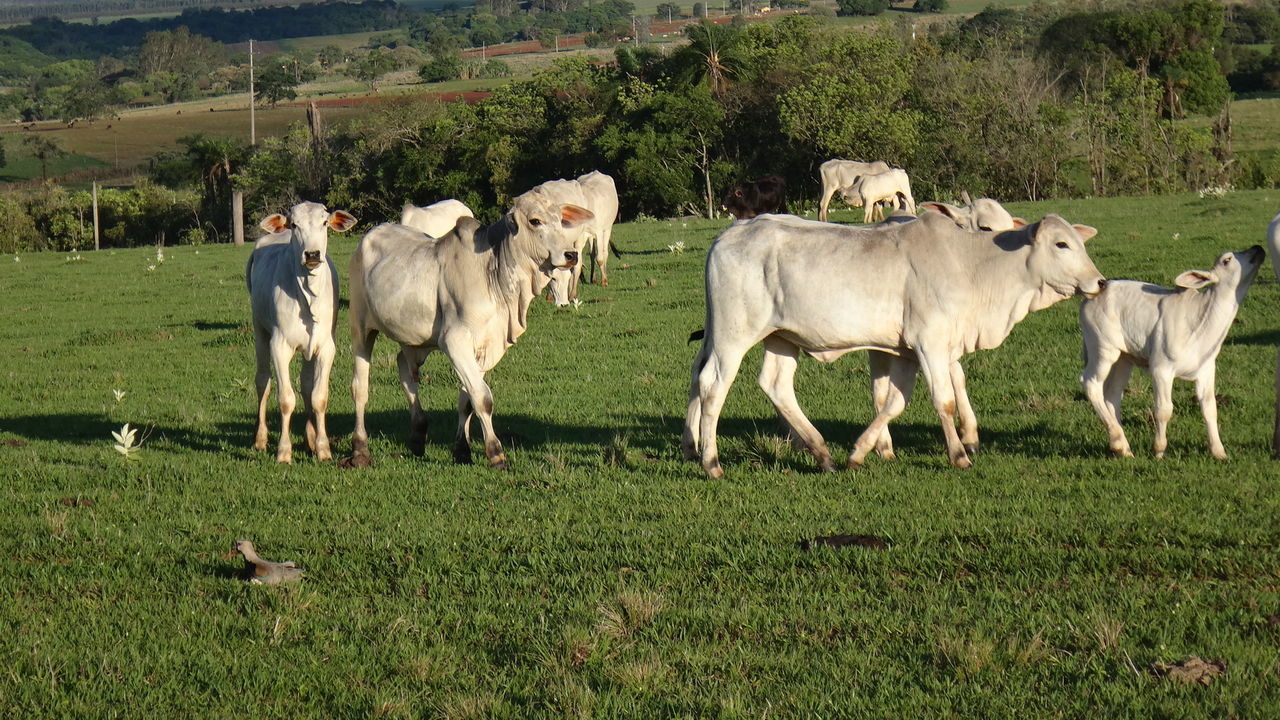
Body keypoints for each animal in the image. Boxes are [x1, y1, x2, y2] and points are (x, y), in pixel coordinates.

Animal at [245, 199, 358, 458]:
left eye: (325, 222)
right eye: (295, 224)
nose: (313, 254)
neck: (308, 296)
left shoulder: (325, 347)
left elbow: (318, 396)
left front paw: (323, 448)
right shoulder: (279, 346)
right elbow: (286, 399)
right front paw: (284, 451)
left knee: (306, 384)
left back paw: (310, 438)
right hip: (260, 331)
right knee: (262, 381)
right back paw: (261, 438)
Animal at [345, 183, 593, 471]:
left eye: (562, 220)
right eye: (535, 221)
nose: (571, 254)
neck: (494, 275)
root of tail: (374, 232)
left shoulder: (485, 346)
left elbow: (467, 401)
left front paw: (462, 450)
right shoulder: (455, 341)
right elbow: (482, 398)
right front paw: (495, 453)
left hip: (414, 338)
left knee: (404, 367)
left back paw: (418, 436)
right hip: (360, 328)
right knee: (360, 387)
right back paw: (360, 449)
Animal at [540, 171, 619, 304]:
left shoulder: (597, 232)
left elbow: (599, 258)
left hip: (607, 227)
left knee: (604, 253)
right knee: (592, 254)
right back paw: (592, 278)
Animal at [680, 210, 1111, 474]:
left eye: (1080, 243)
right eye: (1061, 245)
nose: (1100, 281)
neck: (973, 267)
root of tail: (733, 231)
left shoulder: (906, 350)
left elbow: (893, 402)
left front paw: (860, 452)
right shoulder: (931, 343)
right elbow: (944, 400)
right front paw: (959, 454)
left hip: (781, 338)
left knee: (775, 385)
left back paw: (822, 453)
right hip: (733, 336)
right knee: (711, 386)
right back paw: (711, 462)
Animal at [1080, 245, 1269, 456]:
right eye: (1227, 260)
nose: (1258, 248)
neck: (1203, 321)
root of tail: (1096, 290)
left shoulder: (1206, 369)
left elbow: (1210, 408)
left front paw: (1219, 451)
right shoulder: (1161, 368)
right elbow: (1164, 410)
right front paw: (1159, 450)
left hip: (1124, 357)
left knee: (1112, 395)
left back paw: (1124, 448)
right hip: (1101, 345)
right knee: (1091, 383)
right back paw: (1117, 439)